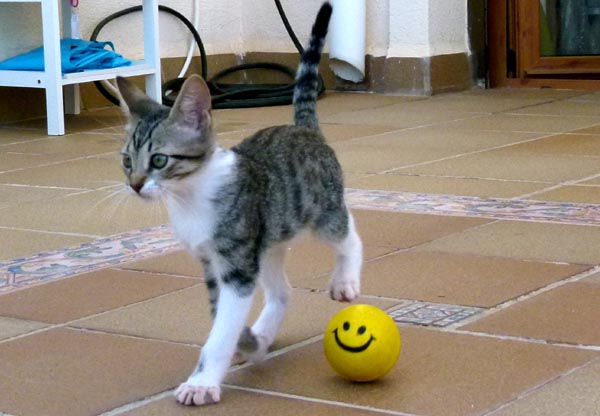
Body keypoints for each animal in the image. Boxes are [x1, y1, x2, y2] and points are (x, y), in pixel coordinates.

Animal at [116, 1, 362, 406]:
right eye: (126, 161)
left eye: (159, 160)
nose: (135, 185)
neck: (190, 198)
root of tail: (304, 127)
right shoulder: (213, 264)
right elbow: (223, 317)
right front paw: (248, 341)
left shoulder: (237, 266)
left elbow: (221, 329)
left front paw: (202, 381)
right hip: (270, 236)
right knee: (281, 291)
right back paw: (263, 332)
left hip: (321, 211)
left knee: (349, 235)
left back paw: (346, 279)